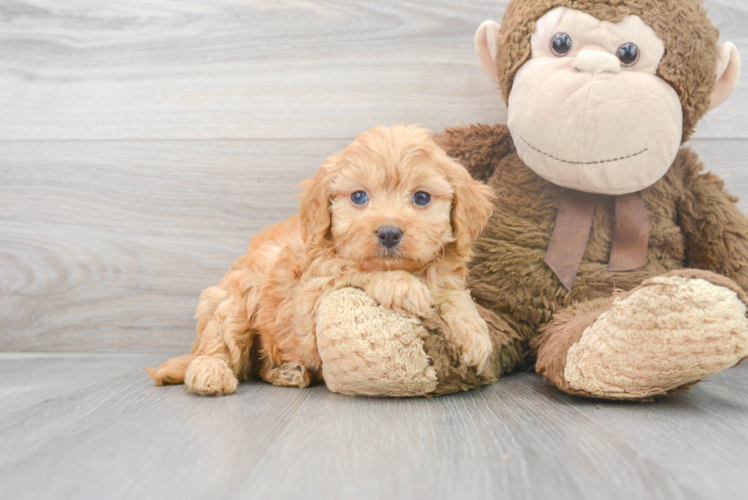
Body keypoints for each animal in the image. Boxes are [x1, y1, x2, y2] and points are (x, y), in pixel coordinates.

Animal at [147, 124, 496, 394]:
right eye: (358, 197)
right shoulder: (307, 298)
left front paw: (475, 333)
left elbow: (456, 296)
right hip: (236, 299)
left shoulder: (447, 277)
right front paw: (401, 285)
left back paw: (287, 371)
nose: (388, 233)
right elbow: (354, 266)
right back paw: (211, 373)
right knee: (220, 344)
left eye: (421, 197)